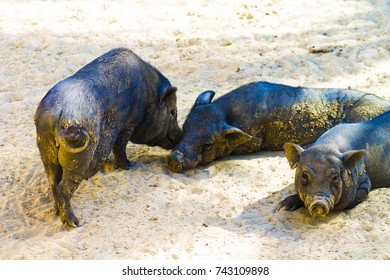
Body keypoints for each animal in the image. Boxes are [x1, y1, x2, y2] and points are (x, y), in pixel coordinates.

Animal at [35, 48, 181, 228]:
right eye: (173, 112)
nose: (181, 134)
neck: (148, 94)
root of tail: (56, 115)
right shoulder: (128, 125)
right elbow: (120, 147)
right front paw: (130, 166)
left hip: (47, 155)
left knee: (53, 182)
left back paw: (57, 213)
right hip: (78, 159)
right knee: (63, 188)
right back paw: (75, 223)